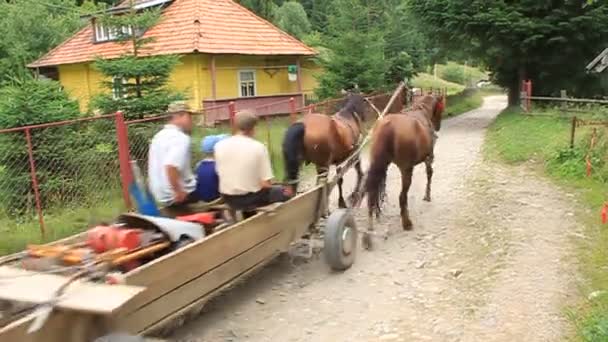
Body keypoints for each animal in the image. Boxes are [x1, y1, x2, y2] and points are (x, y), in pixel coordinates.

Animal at [364, 93, 444, 247]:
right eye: (442, 107)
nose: (438, 127)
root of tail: (388, 124)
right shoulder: (429, 157)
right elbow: (429, 174)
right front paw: (427, 195)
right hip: (406, 169)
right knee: (402, 196)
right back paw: (406, 223)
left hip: (380, 165)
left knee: (372, 192)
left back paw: (370, 228)